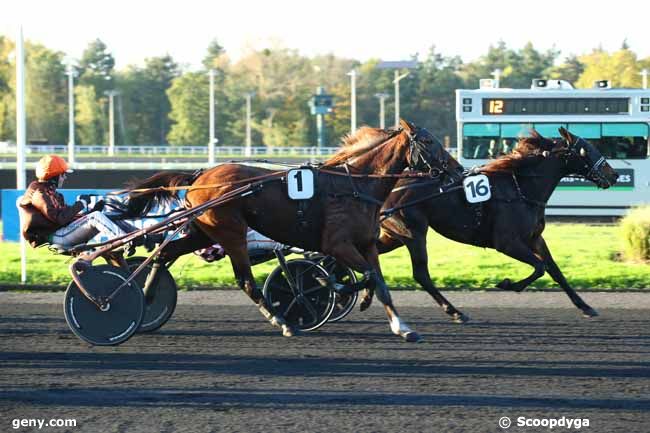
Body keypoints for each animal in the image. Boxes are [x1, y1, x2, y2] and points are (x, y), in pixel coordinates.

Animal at [125, 120, 460, 340]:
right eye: (428, 142)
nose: (457, 170)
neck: (355, 185)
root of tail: (199, 175)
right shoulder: (338, 245)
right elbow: (363, 277)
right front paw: (332, 287)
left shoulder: (366, 244)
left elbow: (380, 282)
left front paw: (402, 327)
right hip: (231, 233)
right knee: (245, 280)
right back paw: (283, 321)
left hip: (204, 231)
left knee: (163, 253)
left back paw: (146, 298)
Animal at [360, 126, 616, 318]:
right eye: (586, 149)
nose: (612, 174)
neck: (520, 188)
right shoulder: (507, 242)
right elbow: (539, 267)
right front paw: (508, 284)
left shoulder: (535, 238)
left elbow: (554, 269)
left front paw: (585, 306)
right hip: (413, 232)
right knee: (420, 274)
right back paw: (454, 311)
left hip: (395, 235)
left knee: (370, 258)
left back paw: (365, 296)